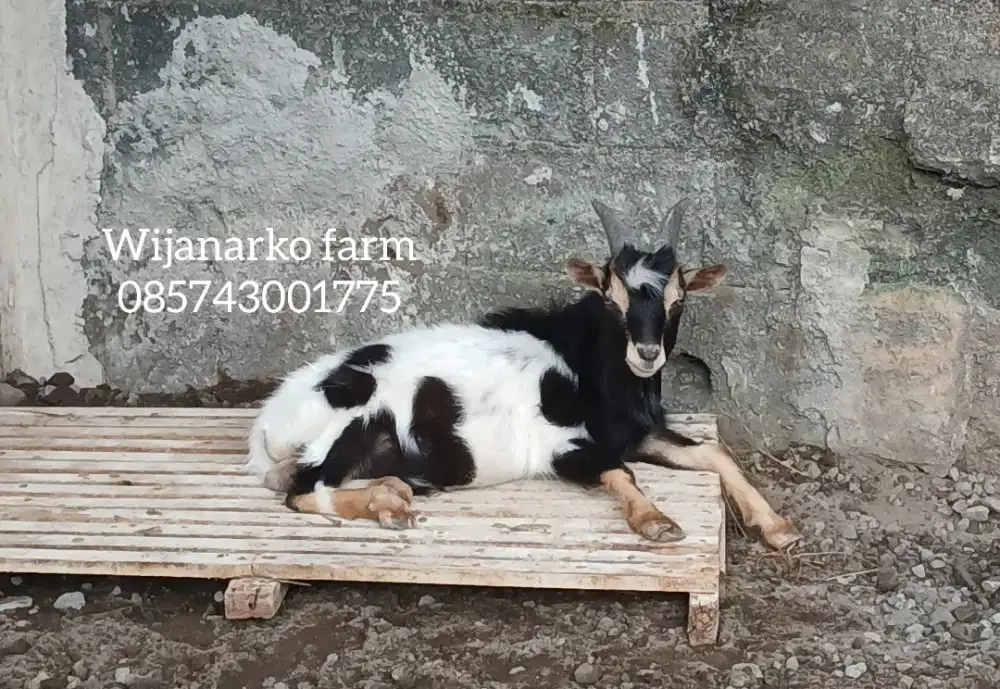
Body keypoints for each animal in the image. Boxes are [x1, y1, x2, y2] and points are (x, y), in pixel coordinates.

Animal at [247, 199, 801, 551]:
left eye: (678, 299)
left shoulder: (638, 433)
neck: (587, 369)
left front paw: (777, 526)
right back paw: (388, 508)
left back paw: (392, 493)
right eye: (610, 297)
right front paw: (657, 521)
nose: (646, 354)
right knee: (304, 489)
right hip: (354, 420)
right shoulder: (560, 447)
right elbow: (619, 473)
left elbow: (714, 452)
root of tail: (268, 425)